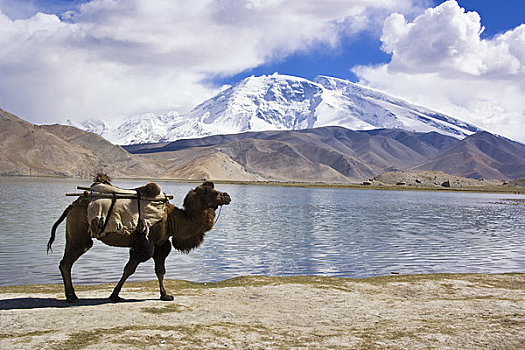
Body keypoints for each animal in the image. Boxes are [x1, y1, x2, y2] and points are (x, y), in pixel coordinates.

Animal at [46, 179, 229, 302]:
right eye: (213, 192)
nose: (227, 196)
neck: (172, 220)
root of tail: (73, 205)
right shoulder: (145, 244)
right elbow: (129, 269)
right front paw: (114, 295)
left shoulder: (161, 245)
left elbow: (160, 271)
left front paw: (165, 295)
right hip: (80, 235)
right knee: (67, 262)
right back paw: (72, 296)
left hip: (74, 235)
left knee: (66, 261)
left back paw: (71, 295)